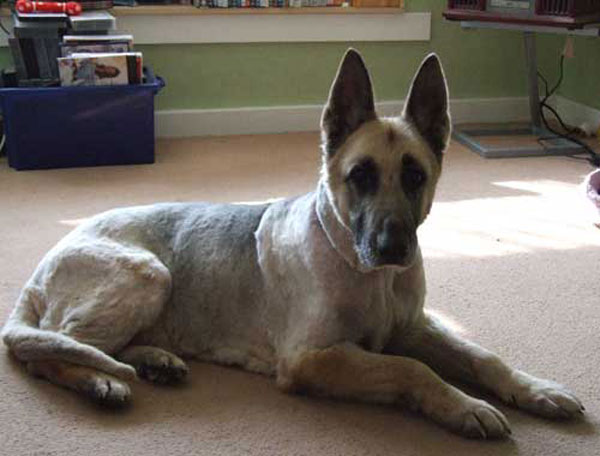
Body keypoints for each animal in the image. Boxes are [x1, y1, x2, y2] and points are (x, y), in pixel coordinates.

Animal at [1, 50, 580, 438]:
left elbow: (484, 357)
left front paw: (534, 388)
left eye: (415, 176)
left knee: (89, 344)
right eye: (360, 176)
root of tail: (43, 264)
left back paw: (152, 360)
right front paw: (461, 405)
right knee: (46, 349)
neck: (369, 276)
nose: (393, 248)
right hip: (148, 273)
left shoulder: (413, 326)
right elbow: (408, 367)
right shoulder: (313, 358)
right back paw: (96, 381)